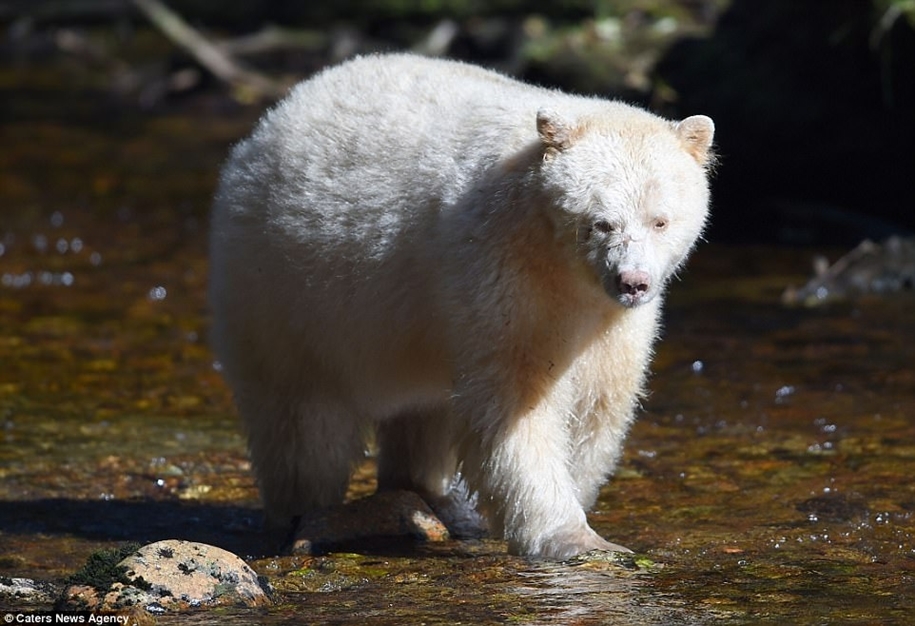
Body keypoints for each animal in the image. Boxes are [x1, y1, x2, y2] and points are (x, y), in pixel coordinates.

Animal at [209, 53, 716, 560]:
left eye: (660, 220)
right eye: (600, 222)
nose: (632, 282)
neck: (559, 263)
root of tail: (275, 116)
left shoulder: (609, 322)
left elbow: (598, 401)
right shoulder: (500, 269)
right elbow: (517, 398)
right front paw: (571, 537)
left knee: (420, 411)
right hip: (283, 289)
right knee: (302, 418)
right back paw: (303, 512)